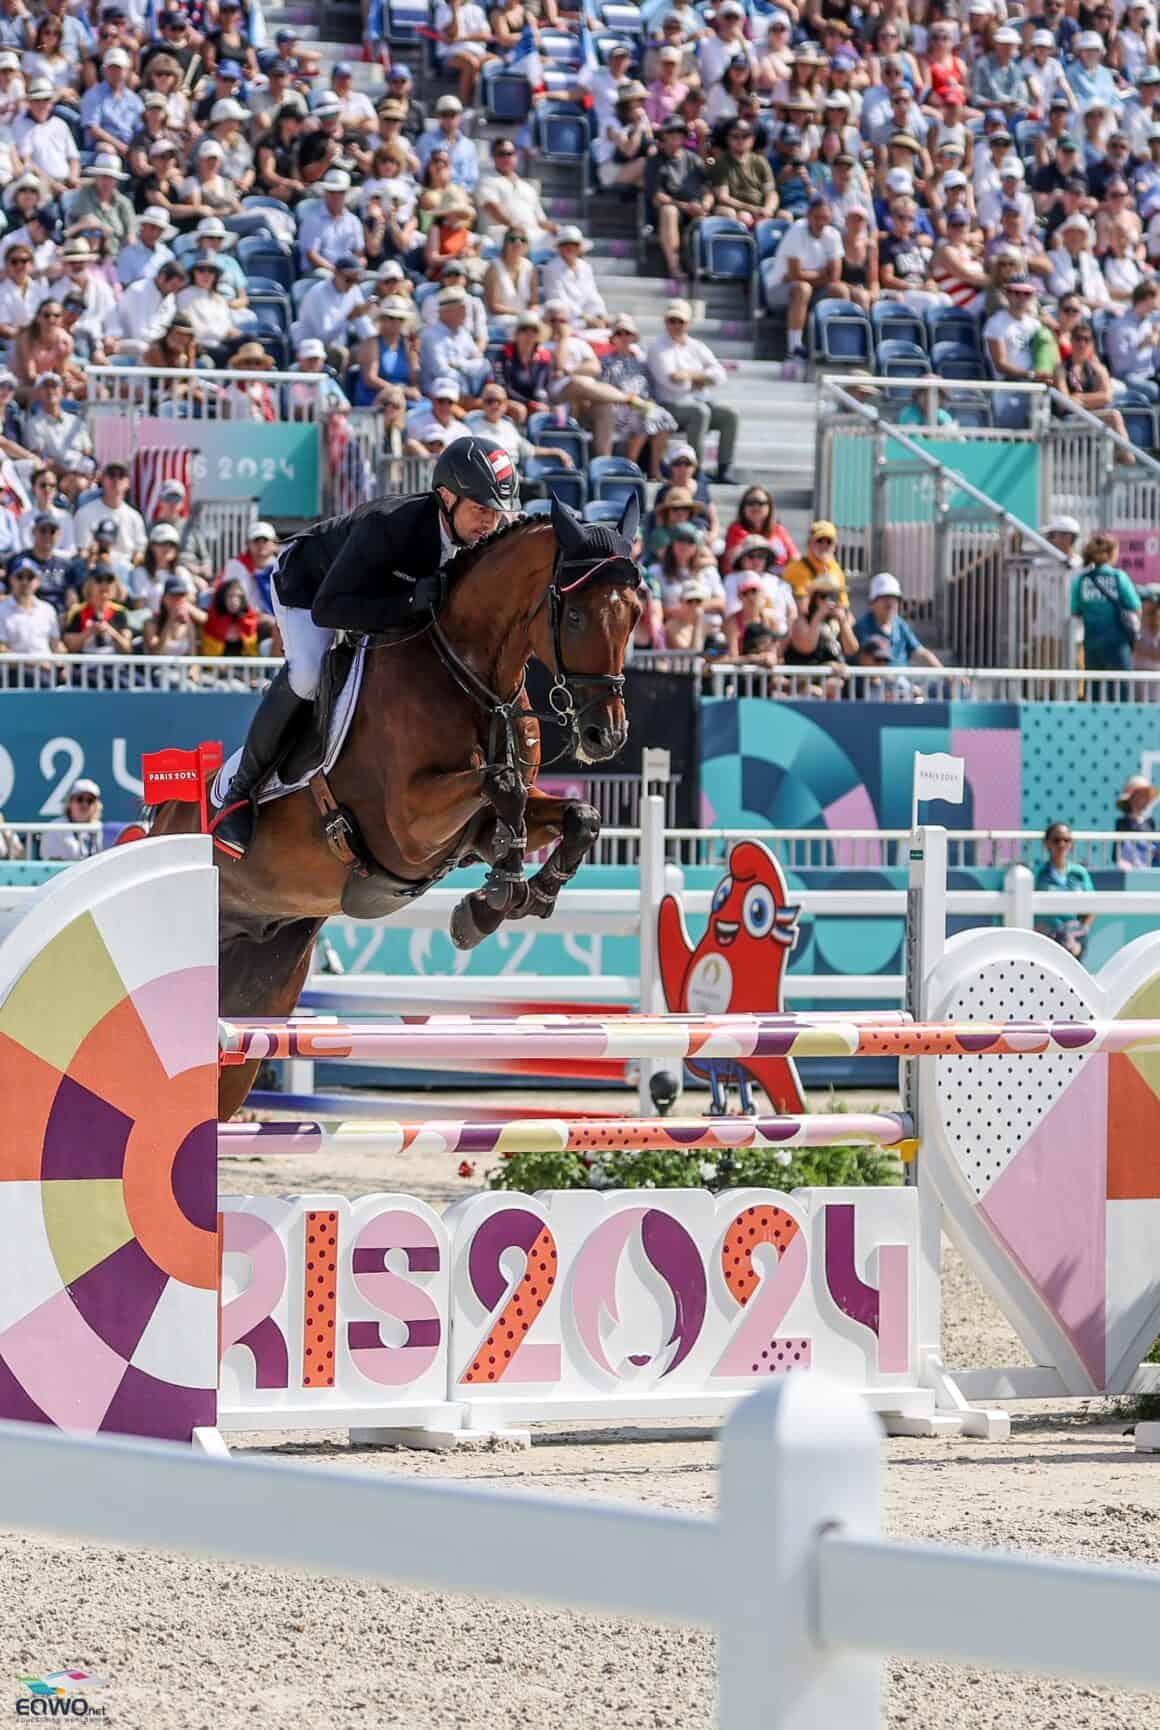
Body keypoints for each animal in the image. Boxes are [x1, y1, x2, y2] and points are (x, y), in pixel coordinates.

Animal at [149, 501, 650, 1121]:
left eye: (633, 615)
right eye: (575, 616)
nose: (606, 736)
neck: (472, 678)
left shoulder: (473, 827)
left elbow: (578, 815)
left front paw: (512, 898)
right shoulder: (407, 826)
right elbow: (502, 784)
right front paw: (495, 899)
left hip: (258, 989)